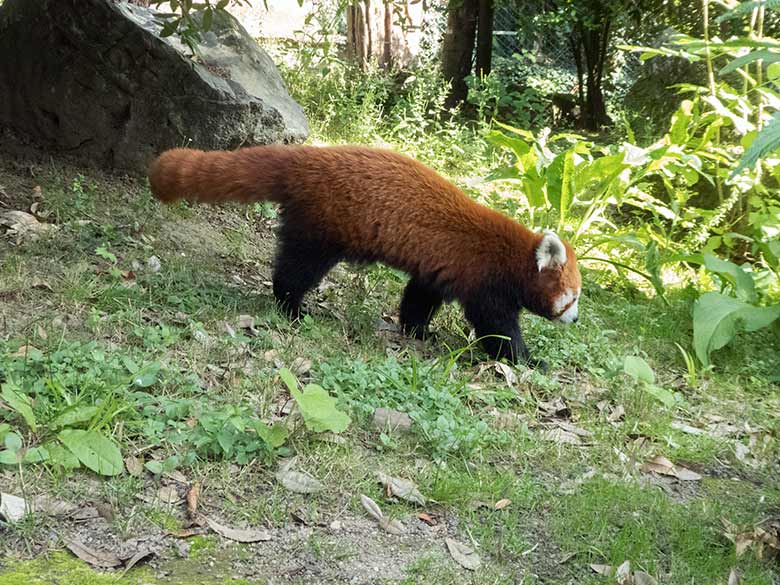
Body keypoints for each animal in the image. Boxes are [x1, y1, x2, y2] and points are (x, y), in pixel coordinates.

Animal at [149, 144, 580, 368]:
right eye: (572, 297)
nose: (574, 320)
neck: (515, 254)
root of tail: (308, 158)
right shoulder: (484, 280)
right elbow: (497, 328)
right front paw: (527, 360)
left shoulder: (438, 270)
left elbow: (419, 297)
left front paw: (417, 331)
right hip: (323, 226)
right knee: (297, 268)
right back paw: (292, 306)